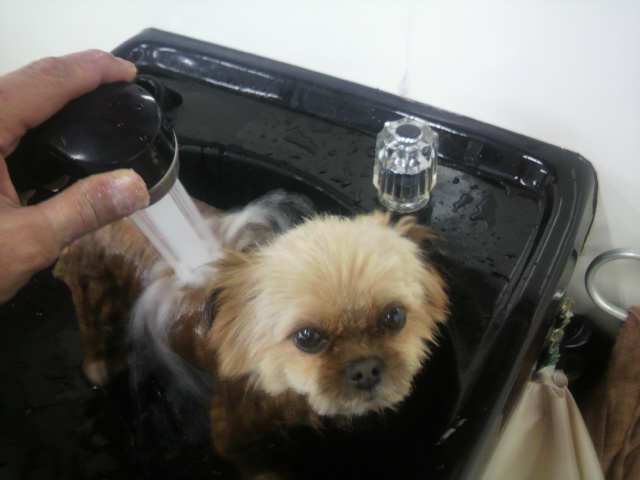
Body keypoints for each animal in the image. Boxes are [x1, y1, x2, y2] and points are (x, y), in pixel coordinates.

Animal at [54, 190, 449, 478]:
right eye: (307, 337)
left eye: (394, 316)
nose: (365, 368)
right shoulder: (230, 423)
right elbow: (253, 463)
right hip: (96, 296)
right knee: (95, 340)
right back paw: (104, 367)